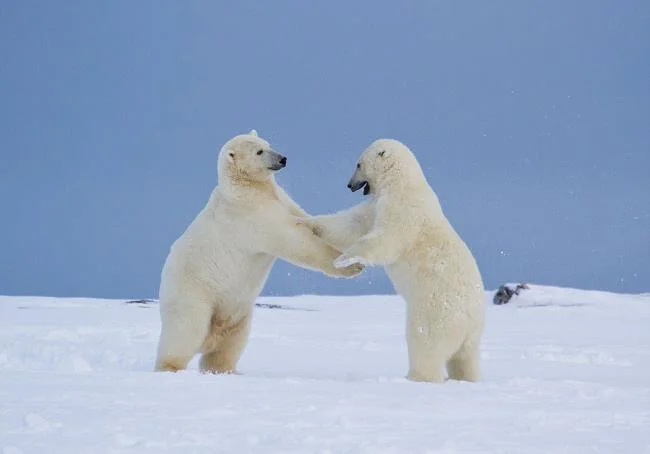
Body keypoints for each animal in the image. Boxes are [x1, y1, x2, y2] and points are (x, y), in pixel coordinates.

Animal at [155, 130, 363, 374]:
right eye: (259, 151)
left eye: (268, 144)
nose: (282, 159)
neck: (243, 189)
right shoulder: (251, 215)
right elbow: (295, 241)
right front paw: (352, 266)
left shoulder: (278, 197)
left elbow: (303, 218)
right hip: (193, 294)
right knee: (186, 331)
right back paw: (170, 367)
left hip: (239, 314)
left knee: (230, 343)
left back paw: (226, 369)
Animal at [302, 139, 485, 383]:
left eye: (358, 164)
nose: (349, 185)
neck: (402, 183)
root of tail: (471, 319)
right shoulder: (376, 205)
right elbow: (353, 223)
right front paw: (308, 222)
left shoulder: (403, 210)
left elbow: (385, 239)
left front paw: (343, 259)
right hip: (471, 337)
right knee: (465, 359)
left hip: (436, 312)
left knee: (424, 342)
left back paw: (416, 377)